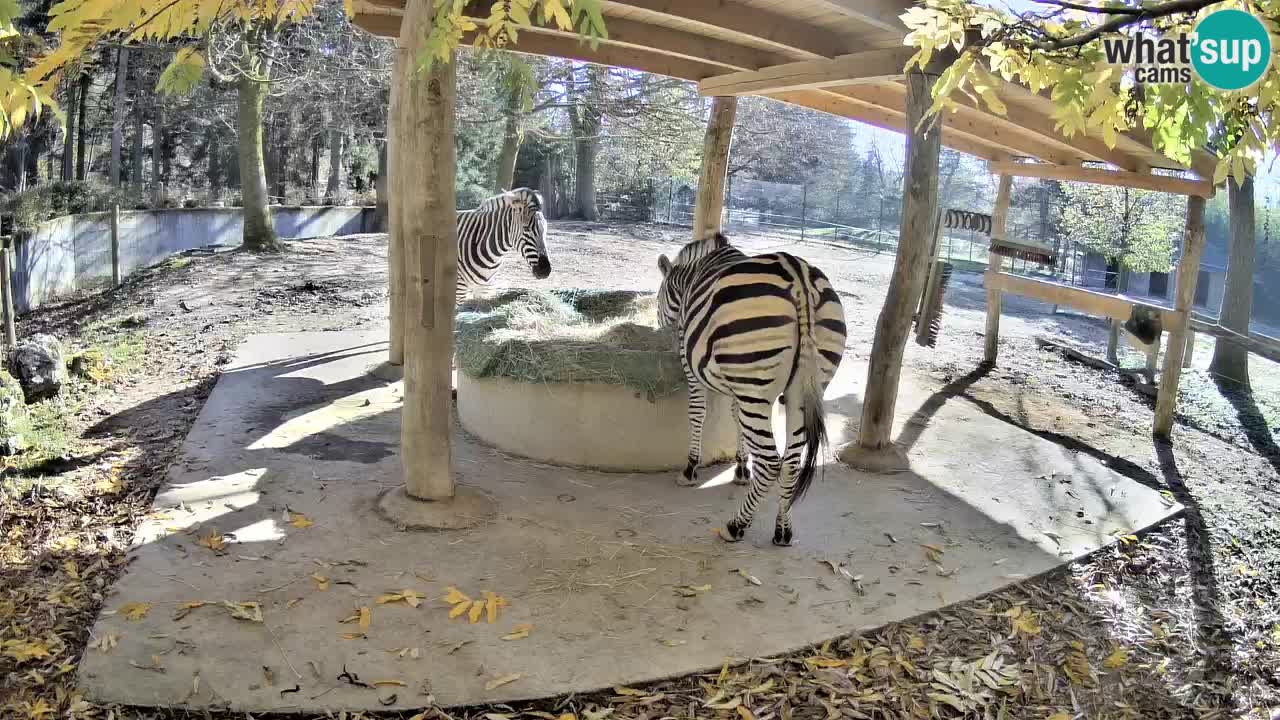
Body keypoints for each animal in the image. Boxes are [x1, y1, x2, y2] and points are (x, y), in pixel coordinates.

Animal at [657, 231, 846, 546]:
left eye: (658, 297)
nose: (659, 327)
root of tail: (800, 278)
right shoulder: (741, 388)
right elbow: (735, 418)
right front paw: (742, 468)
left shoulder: (692, 366)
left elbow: (697, 413)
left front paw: (691, 468)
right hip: (801, 389)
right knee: (790, 462)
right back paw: (783, 530)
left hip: (756, 386)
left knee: (771, 463)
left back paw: (735, 526)